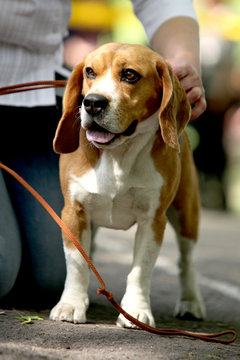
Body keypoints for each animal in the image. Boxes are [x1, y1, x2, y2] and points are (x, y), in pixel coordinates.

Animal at [49, 43, 205, 328]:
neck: (118, 155)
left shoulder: (153, 220)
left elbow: (140, 271)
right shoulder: (74, 212)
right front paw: (71, 305)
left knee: (186, 261)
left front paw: (135, 310)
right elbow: (78, 263)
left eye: (130, 75)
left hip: (187, 213)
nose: (93, 102)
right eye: (90, 72)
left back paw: (191, 302)